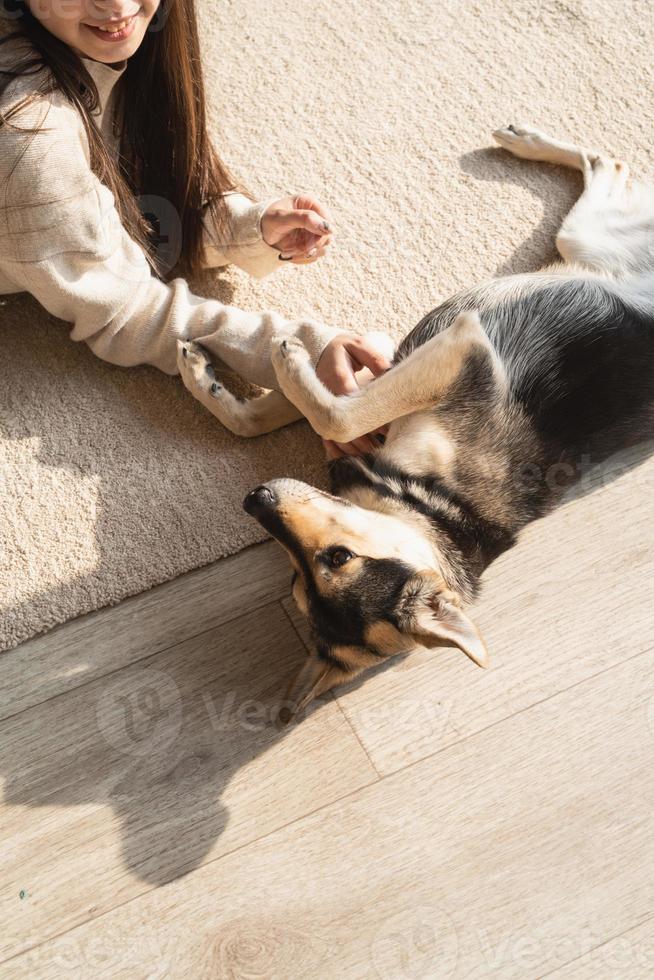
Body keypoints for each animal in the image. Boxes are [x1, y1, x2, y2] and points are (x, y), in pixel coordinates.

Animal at [182, 128, 652, 720]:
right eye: (294, 583)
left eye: (336, 559)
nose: (254, 498)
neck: (432, 504)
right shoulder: (397, 361)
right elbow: (282, 409)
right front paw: (206, 374)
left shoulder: (462, 348)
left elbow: (336, 413)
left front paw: (284, 357)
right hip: (580, 243)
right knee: (606, 163)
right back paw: (523, 140)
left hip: (589, 236)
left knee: (607, 164)